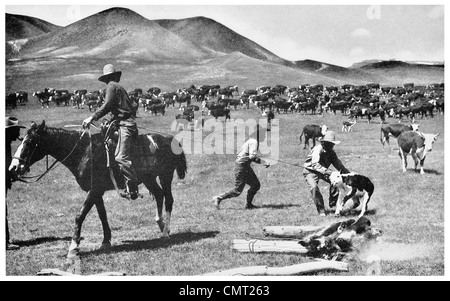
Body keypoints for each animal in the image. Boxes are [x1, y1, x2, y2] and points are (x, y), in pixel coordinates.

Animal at [9, 120, 187, 256]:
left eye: (30, 143)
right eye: (22, 140)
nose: (14, 167)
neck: (83, 152)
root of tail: (169, 139)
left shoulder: (94, 190)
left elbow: (79, 216)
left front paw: (74, 247)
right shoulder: (97, 191)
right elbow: (102, 215)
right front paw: (106, 241)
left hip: (165, 176)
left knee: (168, 200)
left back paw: (165, 232)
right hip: (149, 179)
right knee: (159, 195)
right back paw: (161, 225)